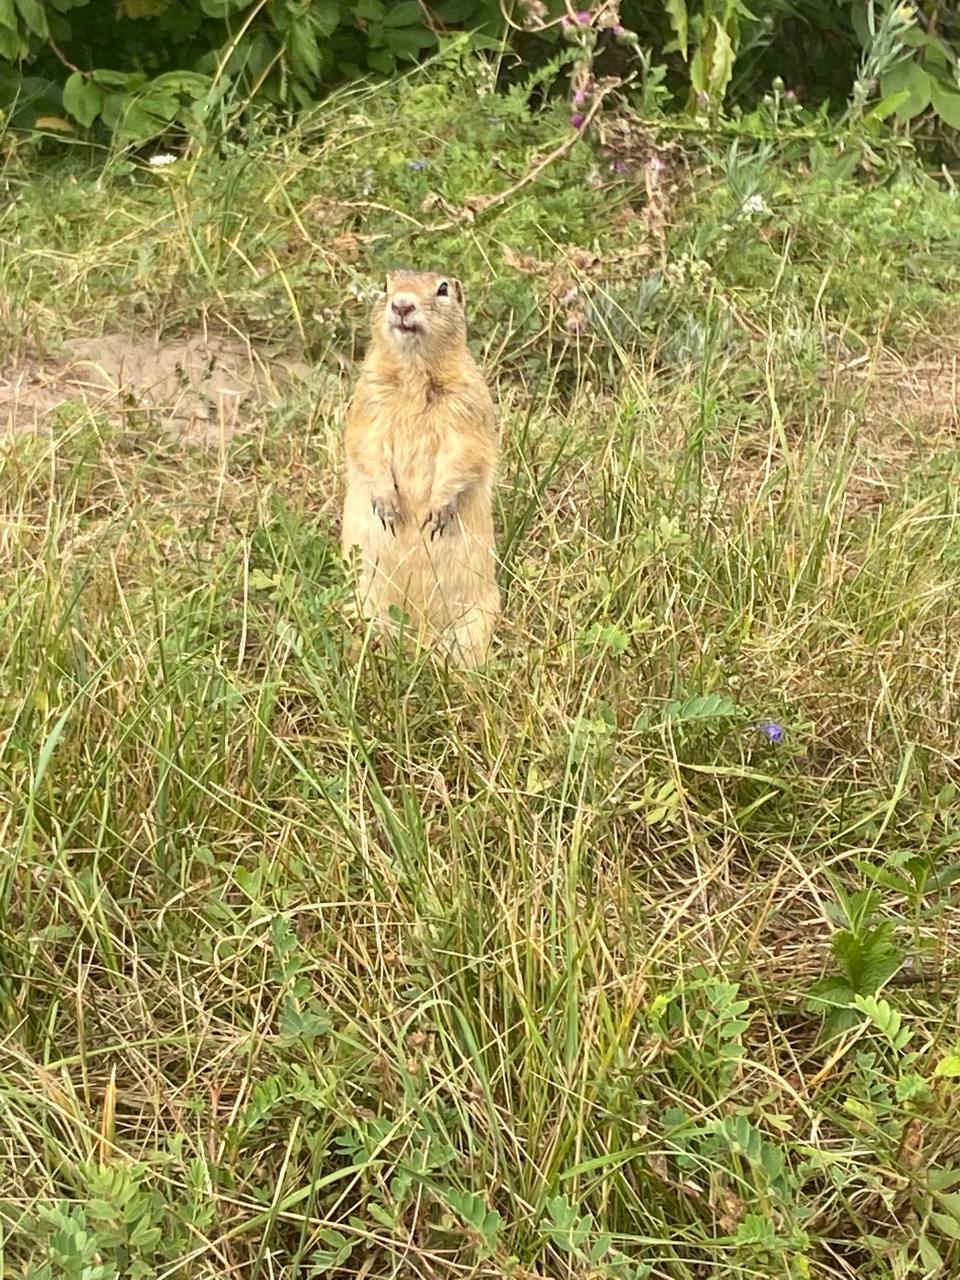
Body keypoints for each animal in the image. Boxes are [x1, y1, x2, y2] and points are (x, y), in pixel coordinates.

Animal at [340, 272, 504, 670]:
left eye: (443, 288)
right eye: (386, 283)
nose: (402, 305)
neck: (414, 373)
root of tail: (419, 642)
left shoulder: (468, 401)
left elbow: (465, 452)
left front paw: (436, 512)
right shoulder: (369, 398)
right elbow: (365, 443)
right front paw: (388, 507)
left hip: (477, 618)